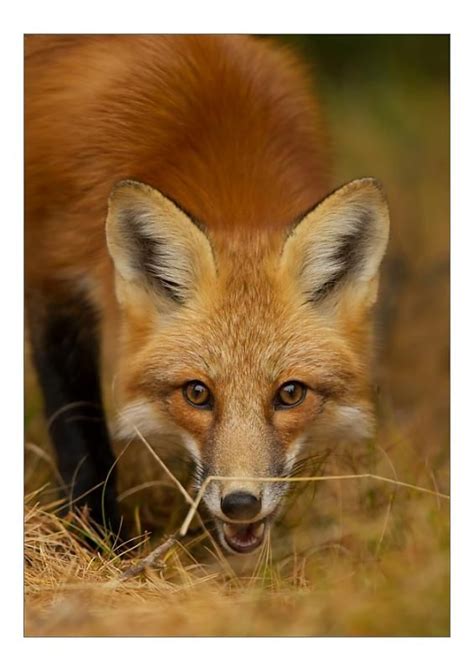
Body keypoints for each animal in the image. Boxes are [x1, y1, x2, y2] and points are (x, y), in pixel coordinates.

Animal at [25, 35, 389, 554]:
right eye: (197, 393)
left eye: (291, 393)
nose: (240, 504)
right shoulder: (50, 281)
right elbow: (80, 433)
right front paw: (99, 542)